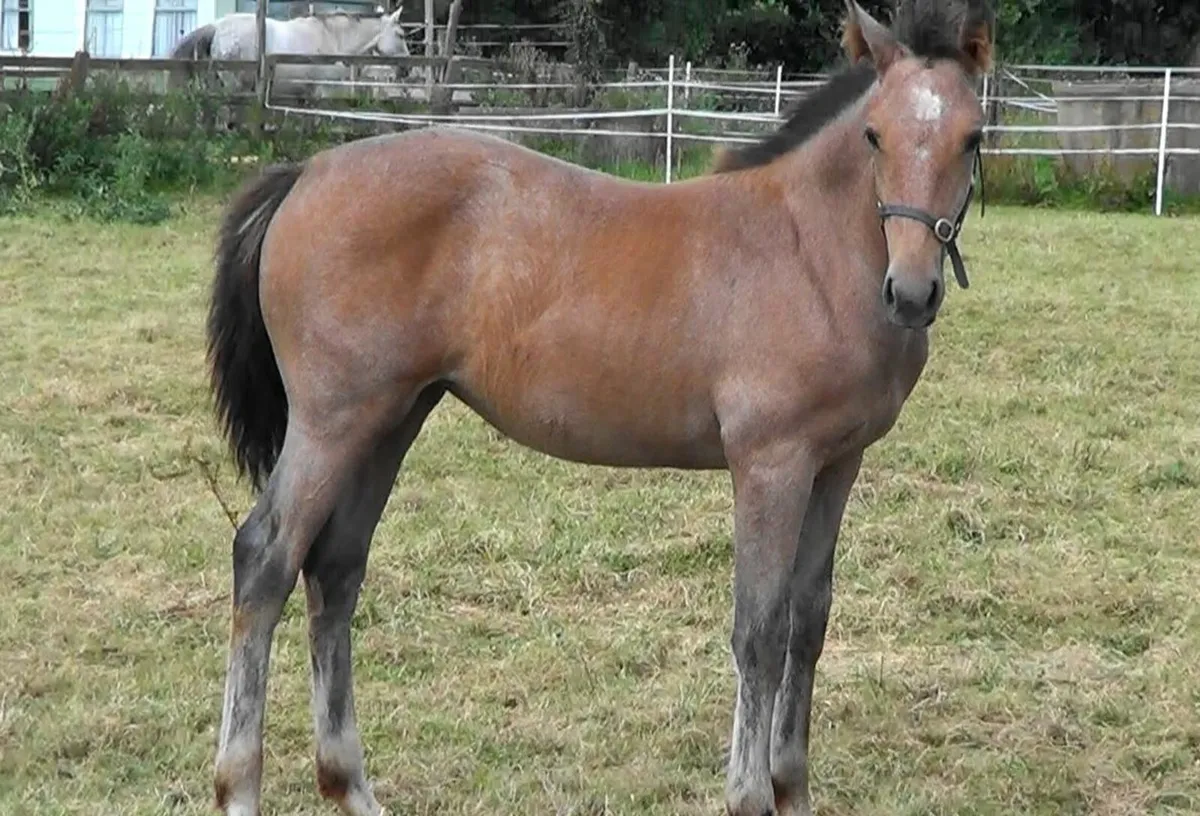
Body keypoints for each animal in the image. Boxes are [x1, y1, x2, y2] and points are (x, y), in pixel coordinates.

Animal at [205, 0, 994, 813]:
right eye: (874, 135)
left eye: (974, 137)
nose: (912, 293)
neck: (808, 250)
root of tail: (305, 174)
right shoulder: (771, 463)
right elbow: (760, 630)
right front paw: (749, 794)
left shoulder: (837, 463)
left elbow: (808, 621)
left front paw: (791, 788)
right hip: (331, 423)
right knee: (265, 558)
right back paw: (239, 785)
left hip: (392, 420)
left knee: (335, 568)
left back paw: (351, 784)